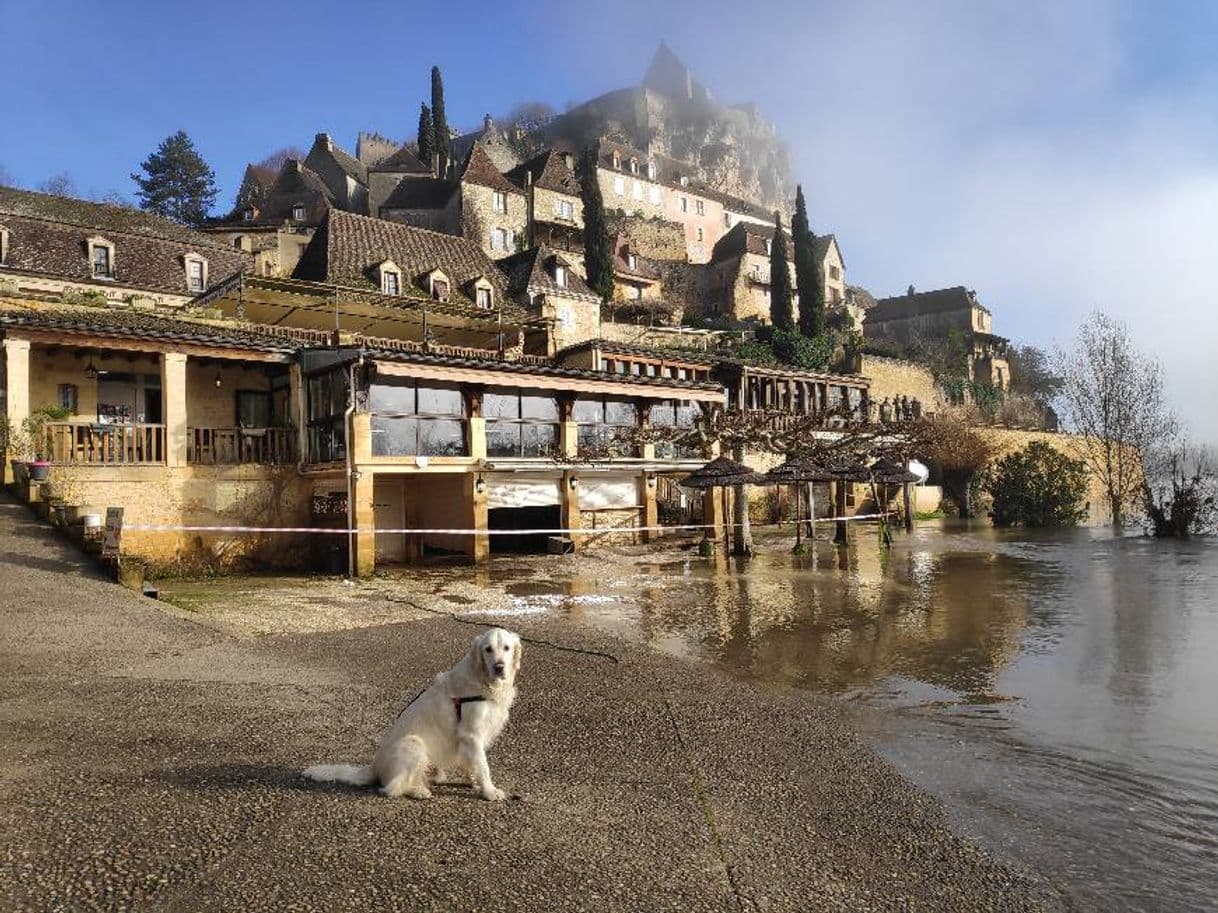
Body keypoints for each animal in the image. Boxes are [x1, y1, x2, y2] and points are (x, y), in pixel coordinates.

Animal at [302, 628, 521, 798]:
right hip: (414, 743)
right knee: (391, 788)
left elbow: (471, 762)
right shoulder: (472, 733)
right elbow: (483, 766)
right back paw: (418, 791)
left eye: (506, 648)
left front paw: (474, 781)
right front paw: (490, 791)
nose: (499, 667)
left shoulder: (470, 738)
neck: (483, 680)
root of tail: (374, 766)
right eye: (488, 649)